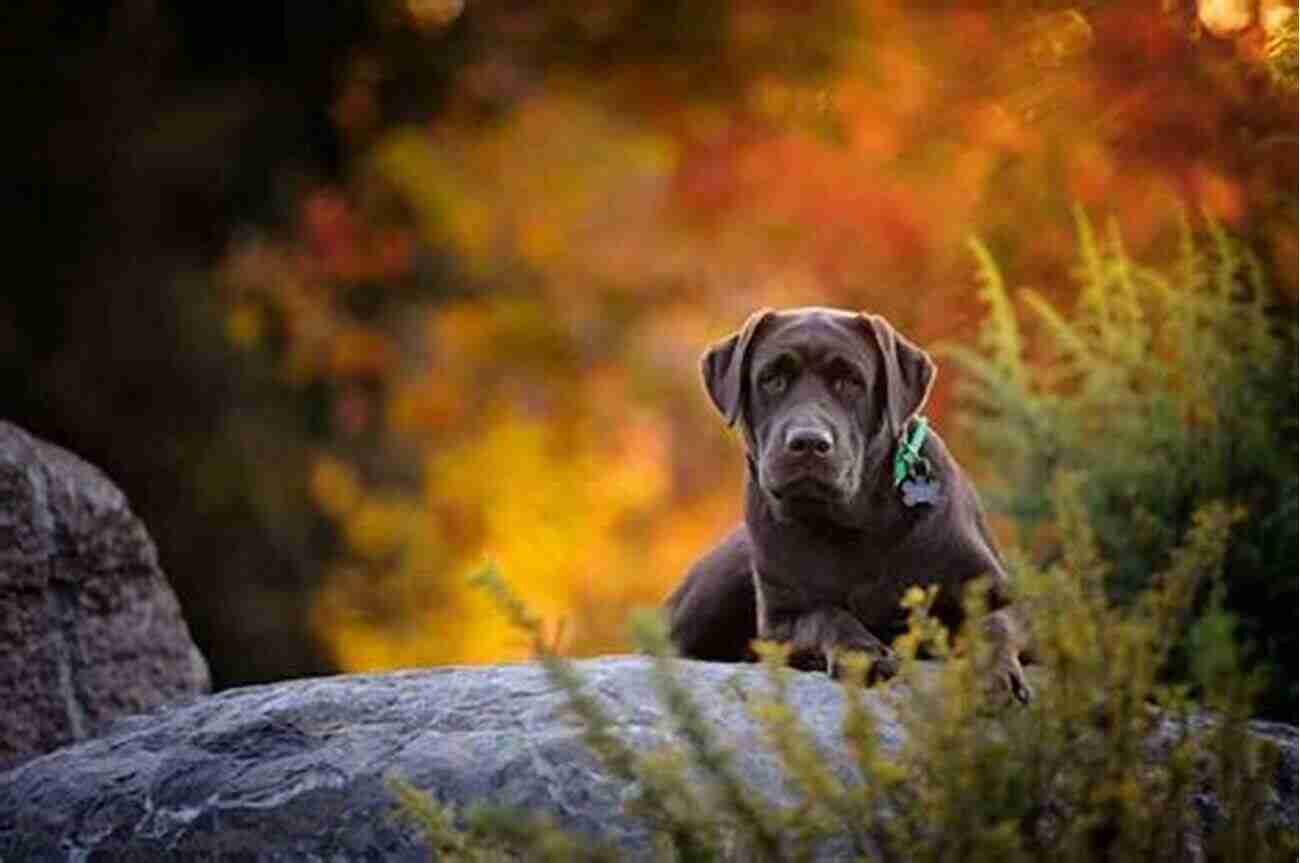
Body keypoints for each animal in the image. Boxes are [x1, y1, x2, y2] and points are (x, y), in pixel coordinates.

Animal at [665, 306, 1029, 707]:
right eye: (772, 380)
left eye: (851, 382)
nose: (808, 442)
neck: (853, 523)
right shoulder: (781, 620)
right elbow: (826, 615)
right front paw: (862, 652)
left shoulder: (995, 590)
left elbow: (992, 624)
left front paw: (995, 673)